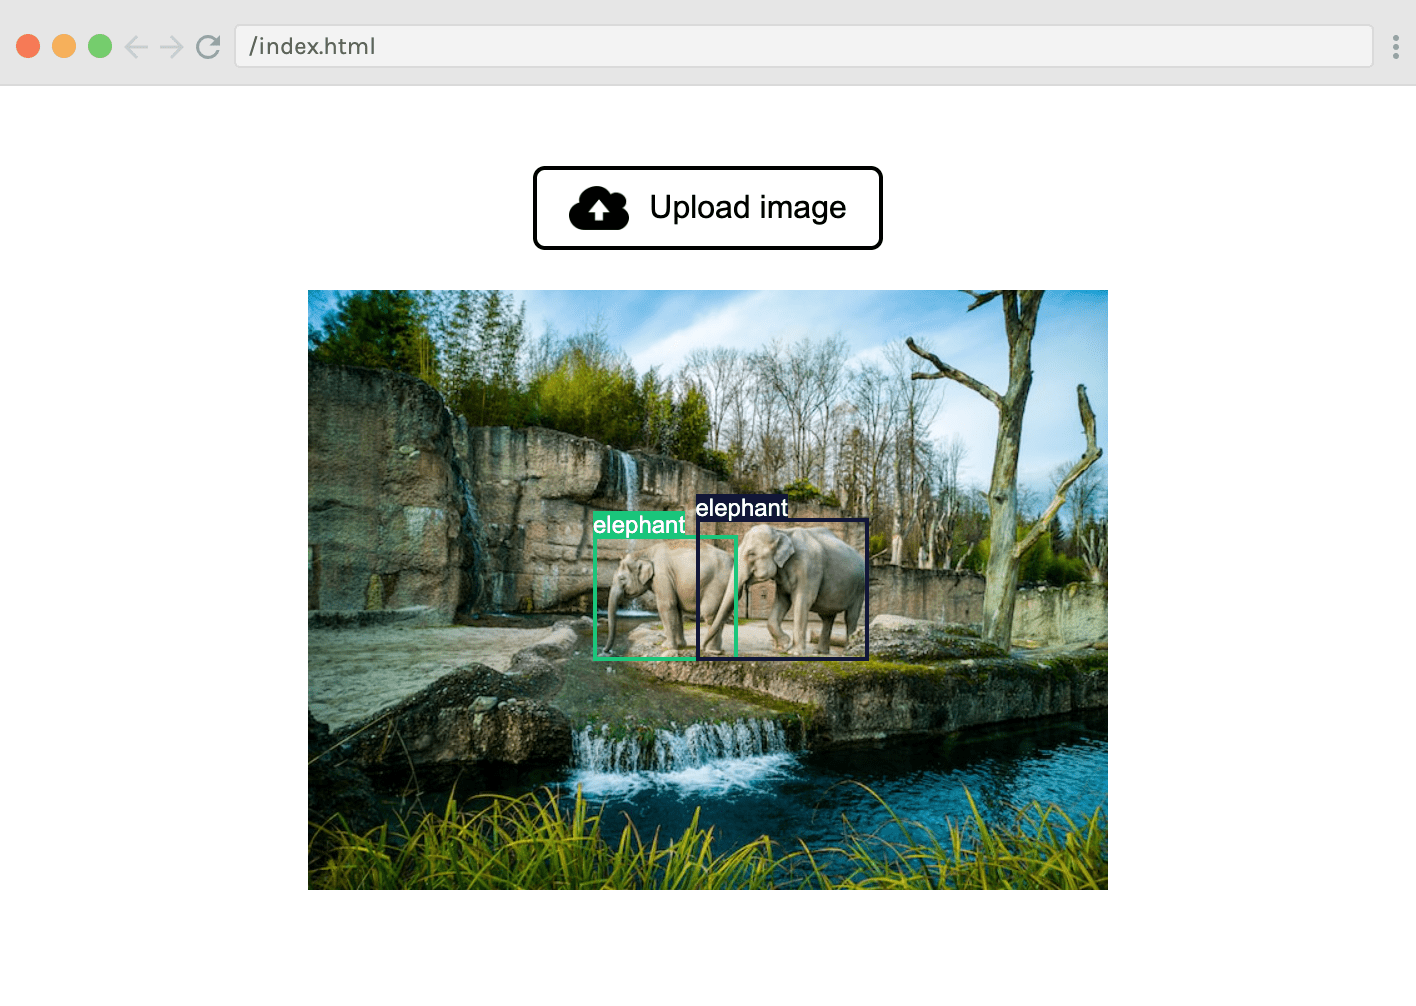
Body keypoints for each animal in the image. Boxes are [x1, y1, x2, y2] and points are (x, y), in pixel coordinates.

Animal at [601, 541, 735, 655]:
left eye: (621, 578)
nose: (605, 650)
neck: (645, 552)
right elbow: (677, 609)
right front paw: (680, 645)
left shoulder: (662, 574)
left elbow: (666, 605)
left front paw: (666, 646)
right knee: (722, 615)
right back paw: (716, 650)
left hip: (716, 585)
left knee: (710, 614)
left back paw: (710, 650)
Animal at [703, 524, 866, 657]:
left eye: (751, 554)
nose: (705, 649)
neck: (782, 531)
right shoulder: (782, 577)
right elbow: (782, 602)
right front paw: (782, 646)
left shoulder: (809, 569)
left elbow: (802, 602)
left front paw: (793, 652)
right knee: (827, 617)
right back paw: (819, 652)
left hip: (859, 588)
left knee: (850, 617)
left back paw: (847, 651)